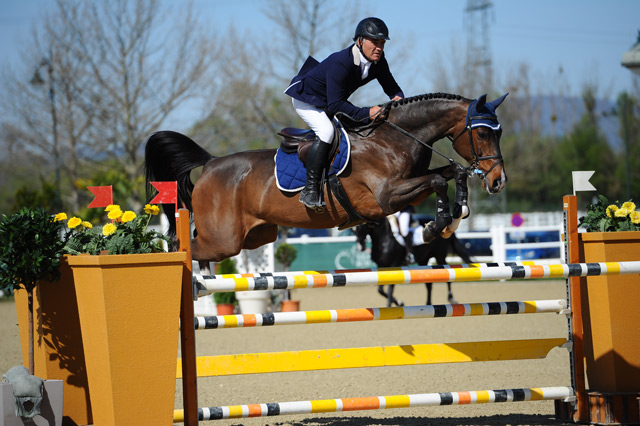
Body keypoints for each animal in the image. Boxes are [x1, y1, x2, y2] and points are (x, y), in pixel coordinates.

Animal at [144, 91, 504, 262]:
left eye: (497, 133)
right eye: (483, 133)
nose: (498, 181)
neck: (394, 137)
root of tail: (210, 163)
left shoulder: (407, 187)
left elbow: (452, 172)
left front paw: (457, 215)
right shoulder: (386, 197)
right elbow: (438, 180)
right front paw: (435, 226)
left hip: (254, 237)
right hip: (222, 241)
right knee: (181, 245)